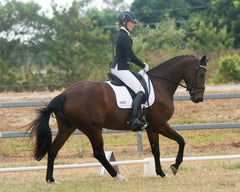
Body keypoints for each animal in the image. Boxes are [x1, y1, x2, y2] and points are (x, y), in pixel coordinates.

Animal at [27, 54, 208, 183]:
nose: (198, 98)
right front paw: (174, 166)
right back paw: (118, 176)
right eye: (201, 74)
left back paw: (51, 180)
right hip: (92, 129)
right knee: (99, 153)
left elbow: (156, 150)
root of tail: (65, 94)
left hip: (68, 127)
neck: (160, 85)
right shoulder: (160, 124)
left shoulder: (152, 127)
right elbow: (181, 140)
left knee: (53, 149)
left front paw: (161, 173)